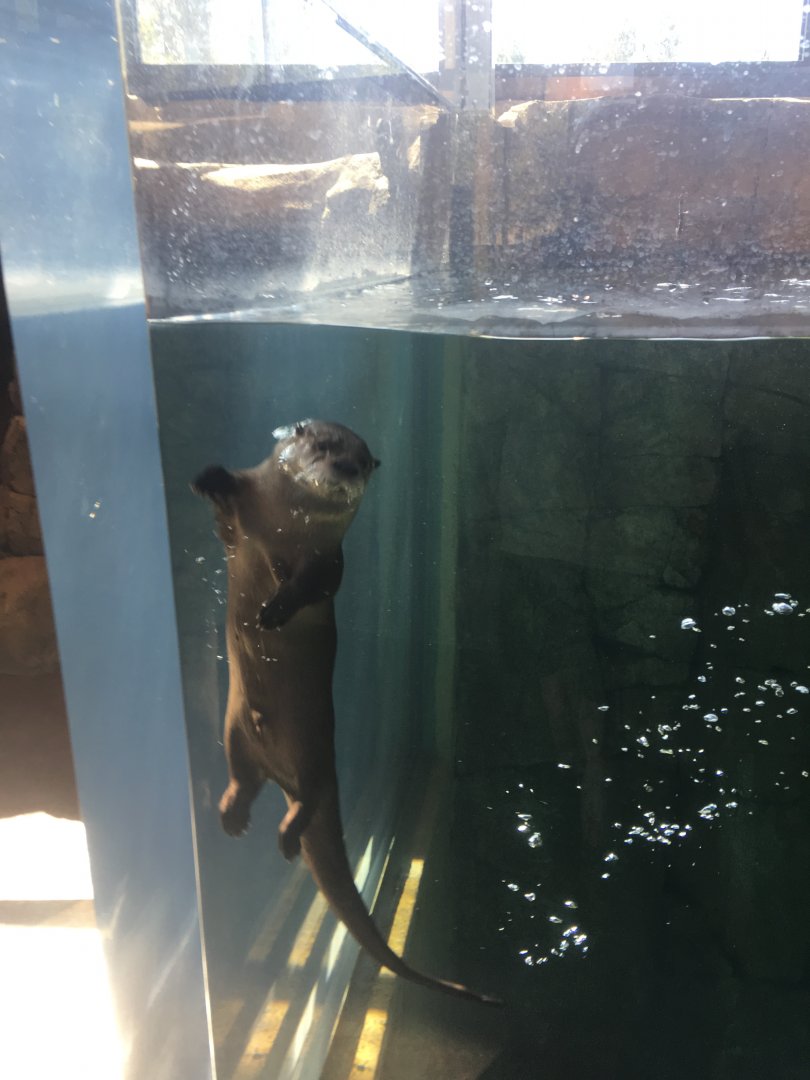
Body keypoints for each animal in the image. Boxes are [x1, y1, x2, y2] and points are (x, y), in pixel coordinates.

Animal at [193, 419, 500, 1006]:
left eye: (362, 463)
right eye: (325, 447)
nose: (344, 472)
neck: (287, 526)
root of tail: (279, 770)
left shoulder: (330, 558)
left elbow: (315, 584)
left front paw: (274, 609)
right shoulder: (248, 512)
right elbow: (227, 507)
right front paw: (207, 478)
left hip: (313, 750)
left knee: (310, 796)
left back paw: (286, 836)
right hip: (233, 727)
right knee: (244, 777)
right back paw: (234, 815)